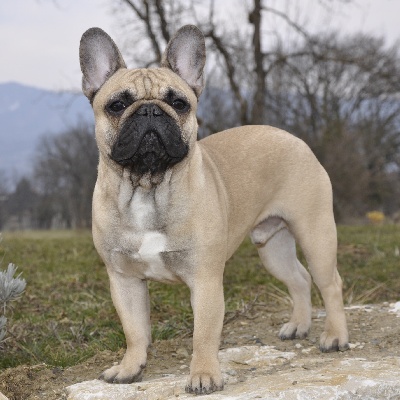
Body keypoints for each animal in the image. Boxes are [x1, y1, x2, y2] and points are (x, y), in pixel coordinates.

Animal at [79, 24, 348, 394]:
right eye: (117, 105)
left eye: (179, 103)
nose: (150, 111)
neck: (148, 187)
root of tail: (295, 139)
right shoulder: (124, 279)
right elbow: (134, 330)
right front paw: (130, 368)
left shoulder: (205, 279)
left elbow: (203, 334)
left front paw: (204, 374)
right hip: (272, 247)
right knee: (299, 278)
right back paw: (298, 325)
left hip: (315, 233)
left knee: (329, 283)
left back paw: (335, 336)